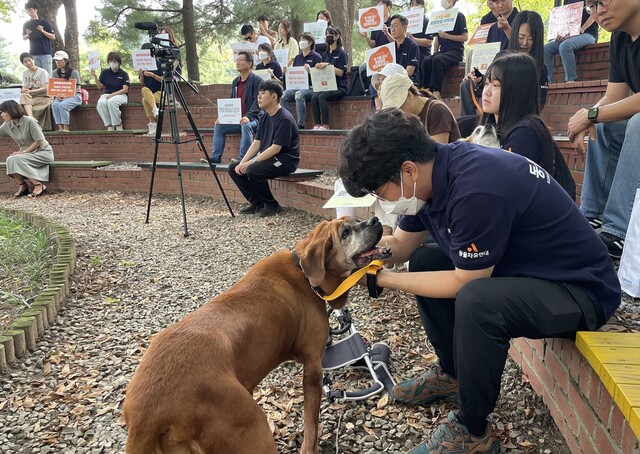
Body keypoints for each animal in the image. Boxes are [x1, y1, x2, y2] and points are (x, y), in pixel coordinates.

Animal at [121, 217, 390, 454]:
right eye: (345, 232)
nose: (376, 220)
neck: (304, 272)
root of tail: (145, 414)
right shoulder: (313, 369)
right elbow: (311, 426)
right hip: (253, 431)